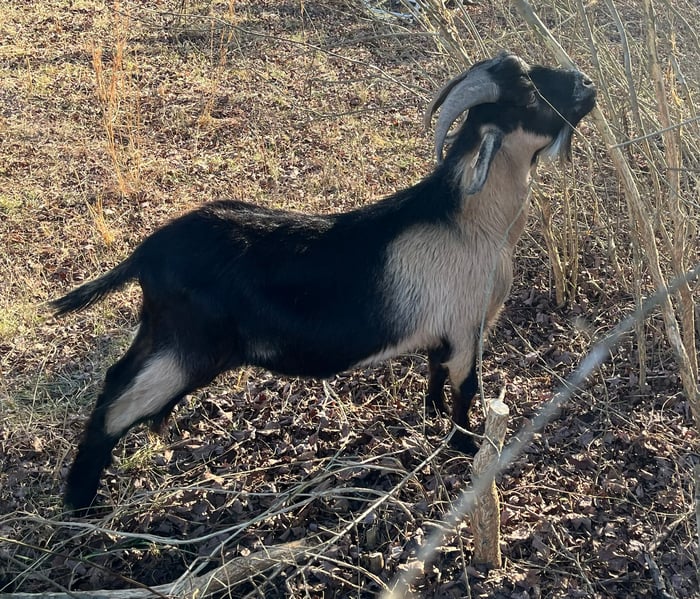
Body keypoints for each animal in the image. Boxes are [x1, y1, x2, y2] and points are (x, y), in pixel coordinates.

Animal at [51, 52, 596, 511]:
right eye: (530, 95)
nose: (587, 84)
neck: (470, 223)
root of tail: (145, 254)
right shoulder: (466, 330)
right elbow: (465, 387)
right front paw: (464, 444)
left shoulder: (445, 333)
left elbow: (435, 374)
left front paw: (432, 415)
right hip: (189, 349)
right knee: (117, 405)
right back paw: (81, 503)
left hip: (162, 335)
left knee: (114, 378)